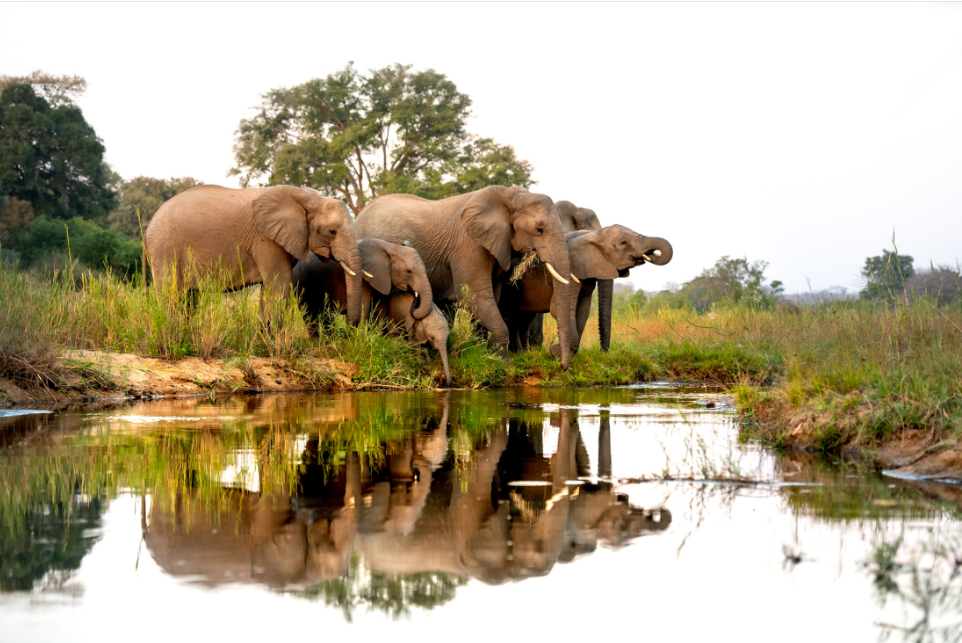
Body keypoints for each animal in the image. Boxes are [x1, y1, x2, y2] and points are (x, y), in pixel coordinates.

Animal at [145, 184, 363, 323]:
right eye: (332, 231)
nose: (347, 320)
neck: (309, 196)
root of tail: (149, 226)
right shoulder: (266, 240)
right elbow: (280, 286)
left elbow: (269, 290)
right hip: (165, 249)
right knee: (172, 295)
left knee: (188, 298)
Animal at [354, 185, 576, 368]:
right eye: (539, 230)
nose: (560, 363)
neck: (513, 196)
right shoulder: (468, 245)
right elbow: (477, 297)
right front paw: (504, 362)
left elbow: (492, 297)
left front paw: (484, 351)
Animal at [500, 224, 673, 354]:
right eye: (623, 243)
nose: (603, 352)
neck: (592, 235)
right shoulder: (570, 272)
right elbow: (562, 308)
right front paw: (555, 352)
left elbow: (583, 309)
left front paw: (568, 354)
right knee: (512, 317)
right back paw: (518, 353)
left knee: (525, 318)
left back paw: (526, 353)